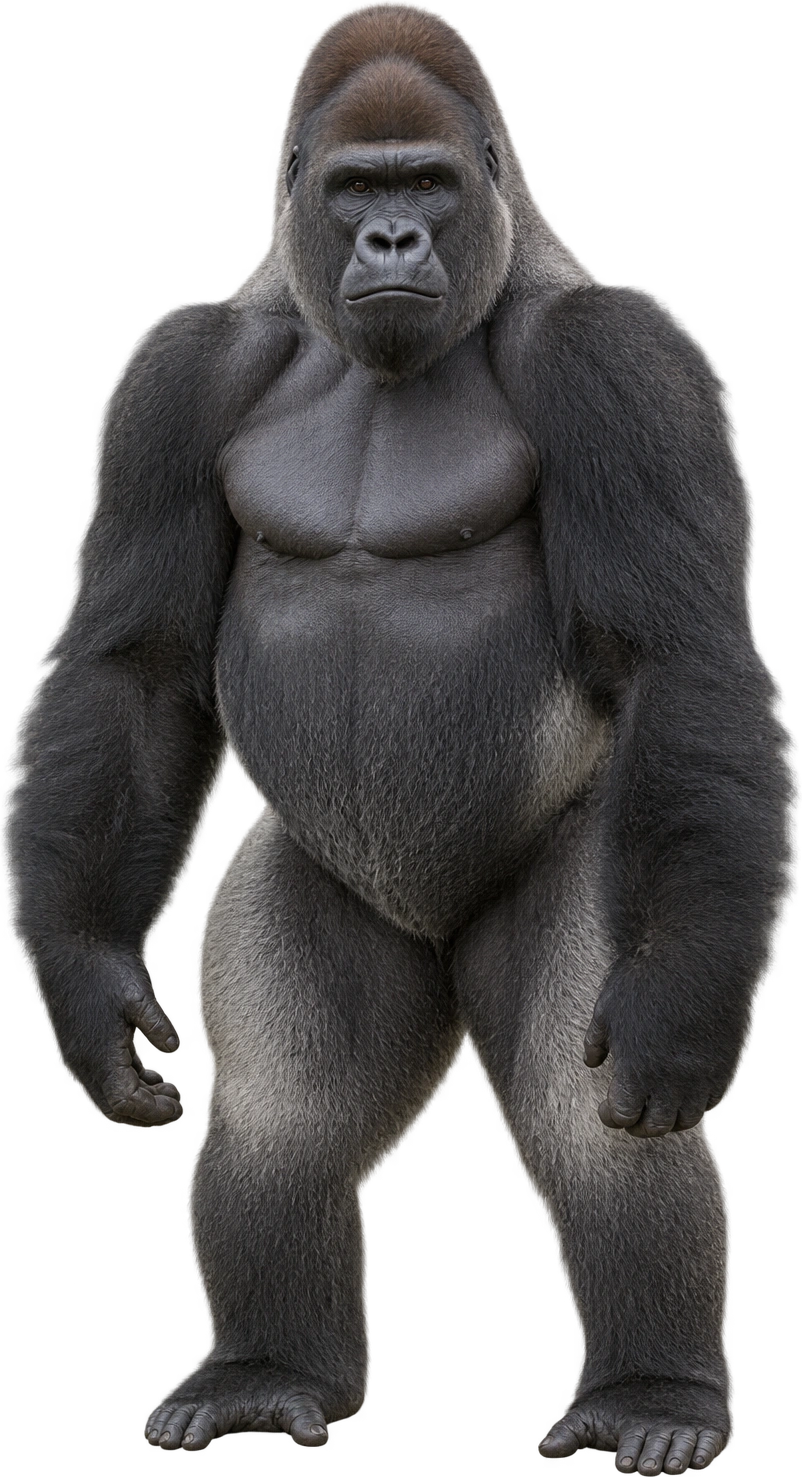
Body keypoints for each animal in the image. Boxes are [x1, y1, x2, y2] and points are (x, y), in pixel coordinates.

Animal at [9, 7, 789, 1469]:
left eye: (426, 184)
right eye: (354, 189)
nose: (388, 241)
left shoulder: (614, 361)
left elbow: (676, 658)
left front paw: (682, 1013)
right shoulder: (181, 374)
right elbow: (133, 667)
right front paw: (83, 980)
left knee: (586, 1111)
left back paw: (649, 1393)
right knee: (285, 1109)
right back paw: (262, 1363)